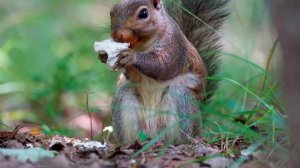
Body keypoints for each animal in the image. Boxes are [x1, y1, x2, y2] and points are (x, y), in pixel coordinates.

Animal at [98, 0, 227, 144]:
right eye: (112, 12)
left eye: (143, 13)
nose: (117, 35)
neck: (142, 45)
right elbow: (132, 76)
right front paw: (104, 55)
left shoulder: (174, 45)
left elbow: (163, 66)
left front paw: (131, 56)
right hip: (124, 98)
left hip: (182, 98)